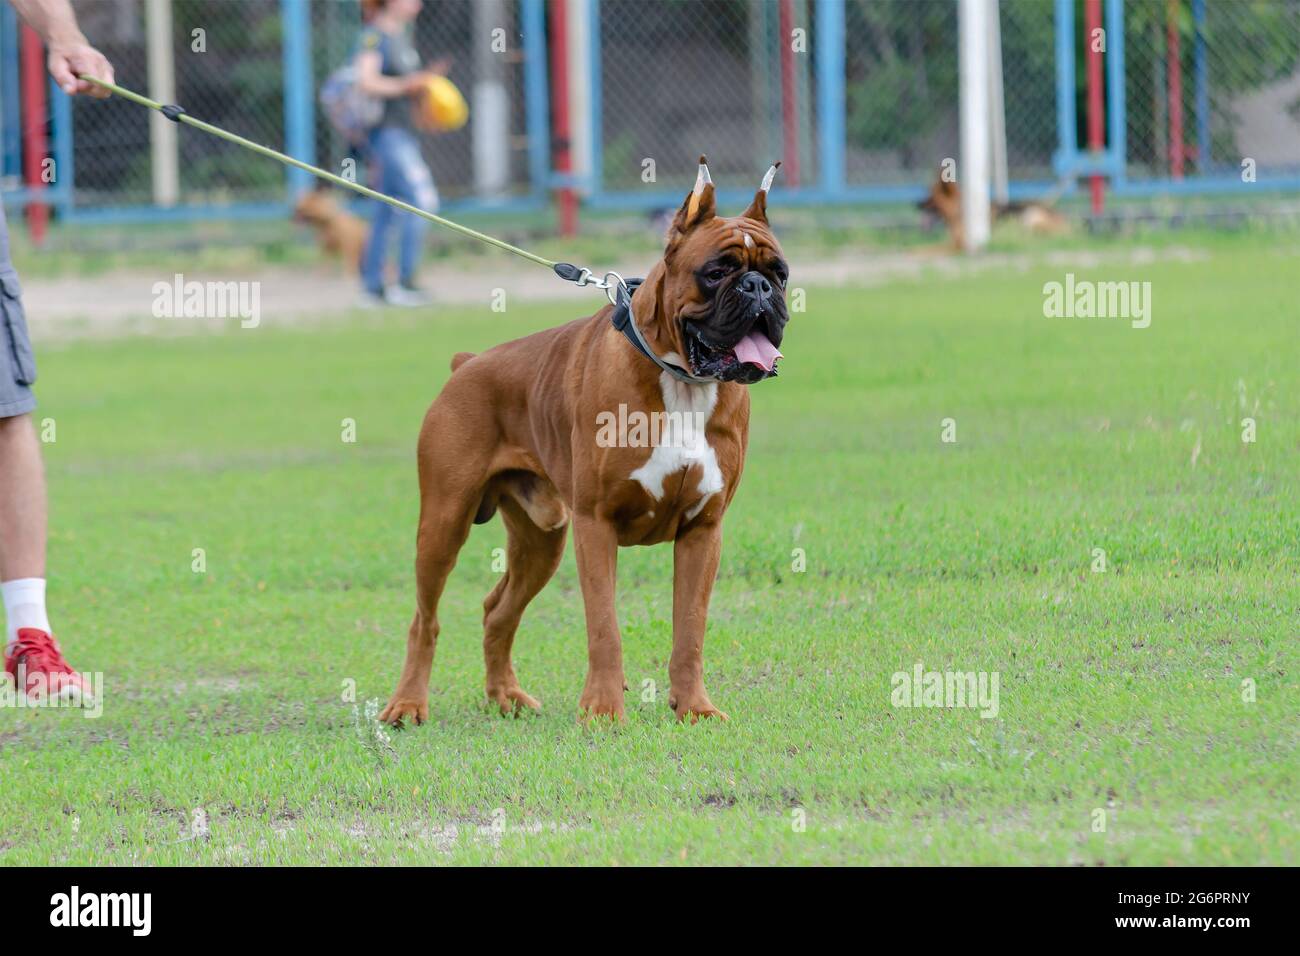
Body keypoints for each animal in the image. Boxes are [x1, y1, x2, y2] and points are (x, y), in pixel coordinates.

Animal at [377, 157, 780, 723]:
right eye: (718, 272)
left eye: (780, 273)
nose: (759, 288)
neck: (681, 379)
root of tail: (467, 364)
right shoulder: (597, 525)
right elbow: (604, 628)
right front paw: (604, 711)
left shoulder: (703, 532)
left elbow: (690, 631)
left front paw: (693, 708)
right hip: (443, 524)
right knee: (424, 619)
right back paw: (409, 704)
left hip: (541, 538)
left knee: (497, 611)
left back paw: (506, 696)